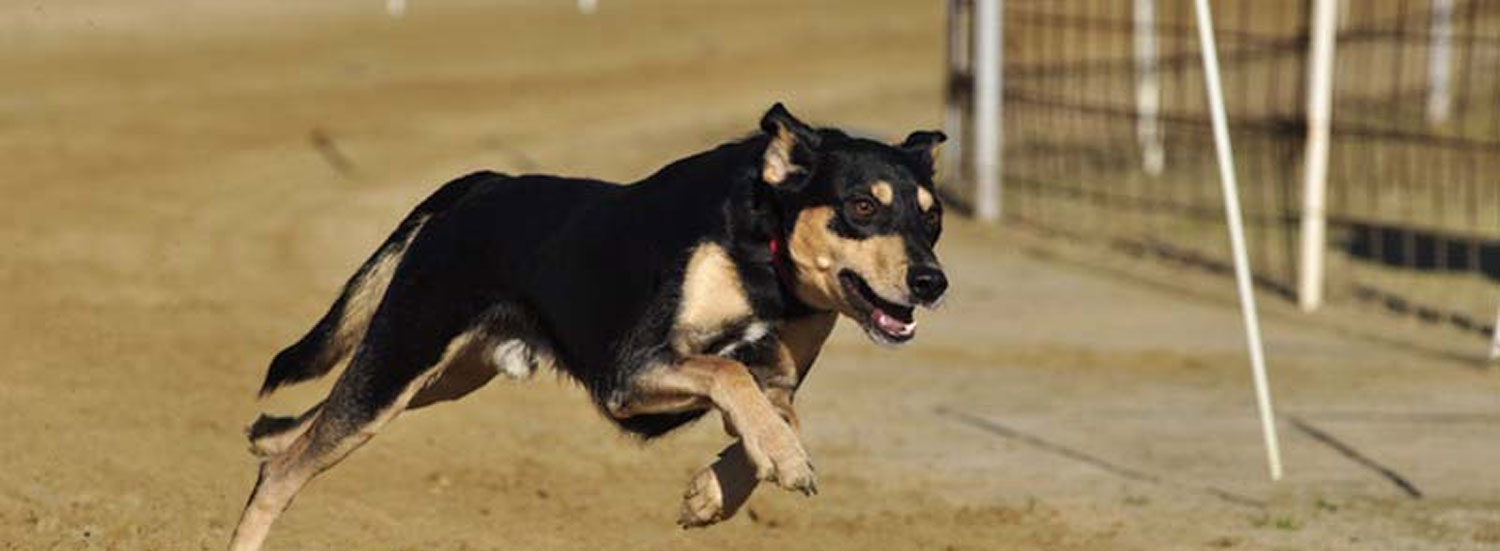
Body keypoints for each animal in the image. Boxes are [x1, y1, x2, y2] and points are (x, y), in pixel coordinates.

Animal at [225, 104, 948, 551]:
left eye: (933, 216)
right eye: (862, 207)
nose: (931, 282)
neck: (762, 252)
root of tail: (485, 183)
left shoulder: (774, 380)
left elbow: (769, 409)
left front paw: (714, 493)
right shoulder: (629, 373)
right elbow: (728, 370)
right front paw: (782, 462)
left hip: (441, 373)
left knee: (301, 428)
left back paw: (267, 432)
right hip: (407, 351)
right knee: (285, 472)